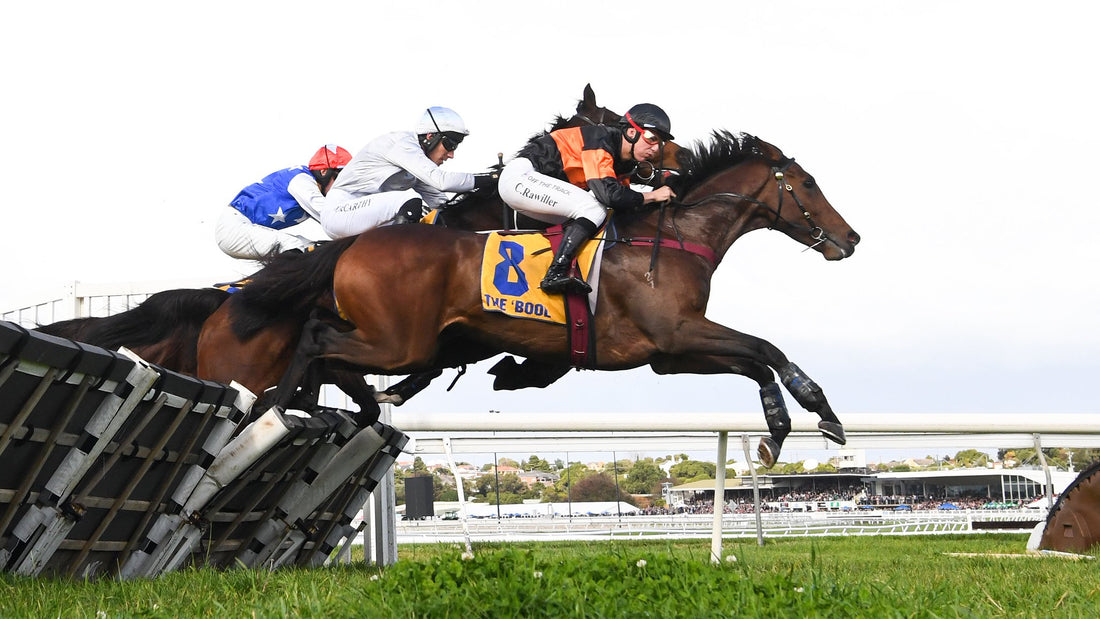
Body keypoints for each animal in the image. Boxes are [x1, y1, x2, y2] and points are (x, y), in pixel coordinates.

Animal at [243, 133, 866, 468]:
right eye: (809, 184)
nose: (852, 238)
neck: (674, 234)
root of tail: (356, 240)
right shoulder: (679, 331)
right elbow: (766, 349)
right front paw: (820, 411)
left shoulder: (669, 353)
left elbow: (755, 362)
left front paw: (776, 431)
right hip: (398, 342)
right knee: (318, 338)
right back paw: (282, 404)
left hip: (397, 341)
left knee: (321, 338)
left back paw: (303, 404)